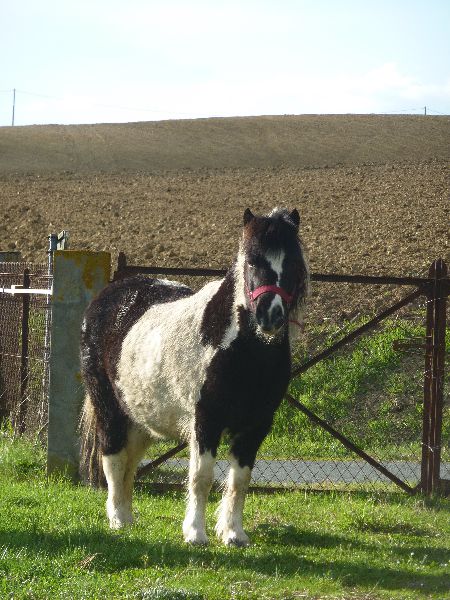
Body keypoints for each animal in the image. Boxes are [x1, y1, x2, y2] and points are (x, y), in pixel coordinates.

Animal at [79, 207, 309, 546]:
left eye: (292, 262)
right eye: (252, 261)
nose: (271, 316)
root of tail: (105, 297)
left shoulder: (256, 427)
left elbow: (240, 481)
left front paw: (234, 534)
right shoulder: (206, 421)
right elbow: (201, 477)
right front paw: (196, 533)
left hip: (141, 421)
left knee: (130, 465)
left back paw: (129, 518)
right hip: (110, 410)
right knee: (113, 460)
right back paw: (118, 519)